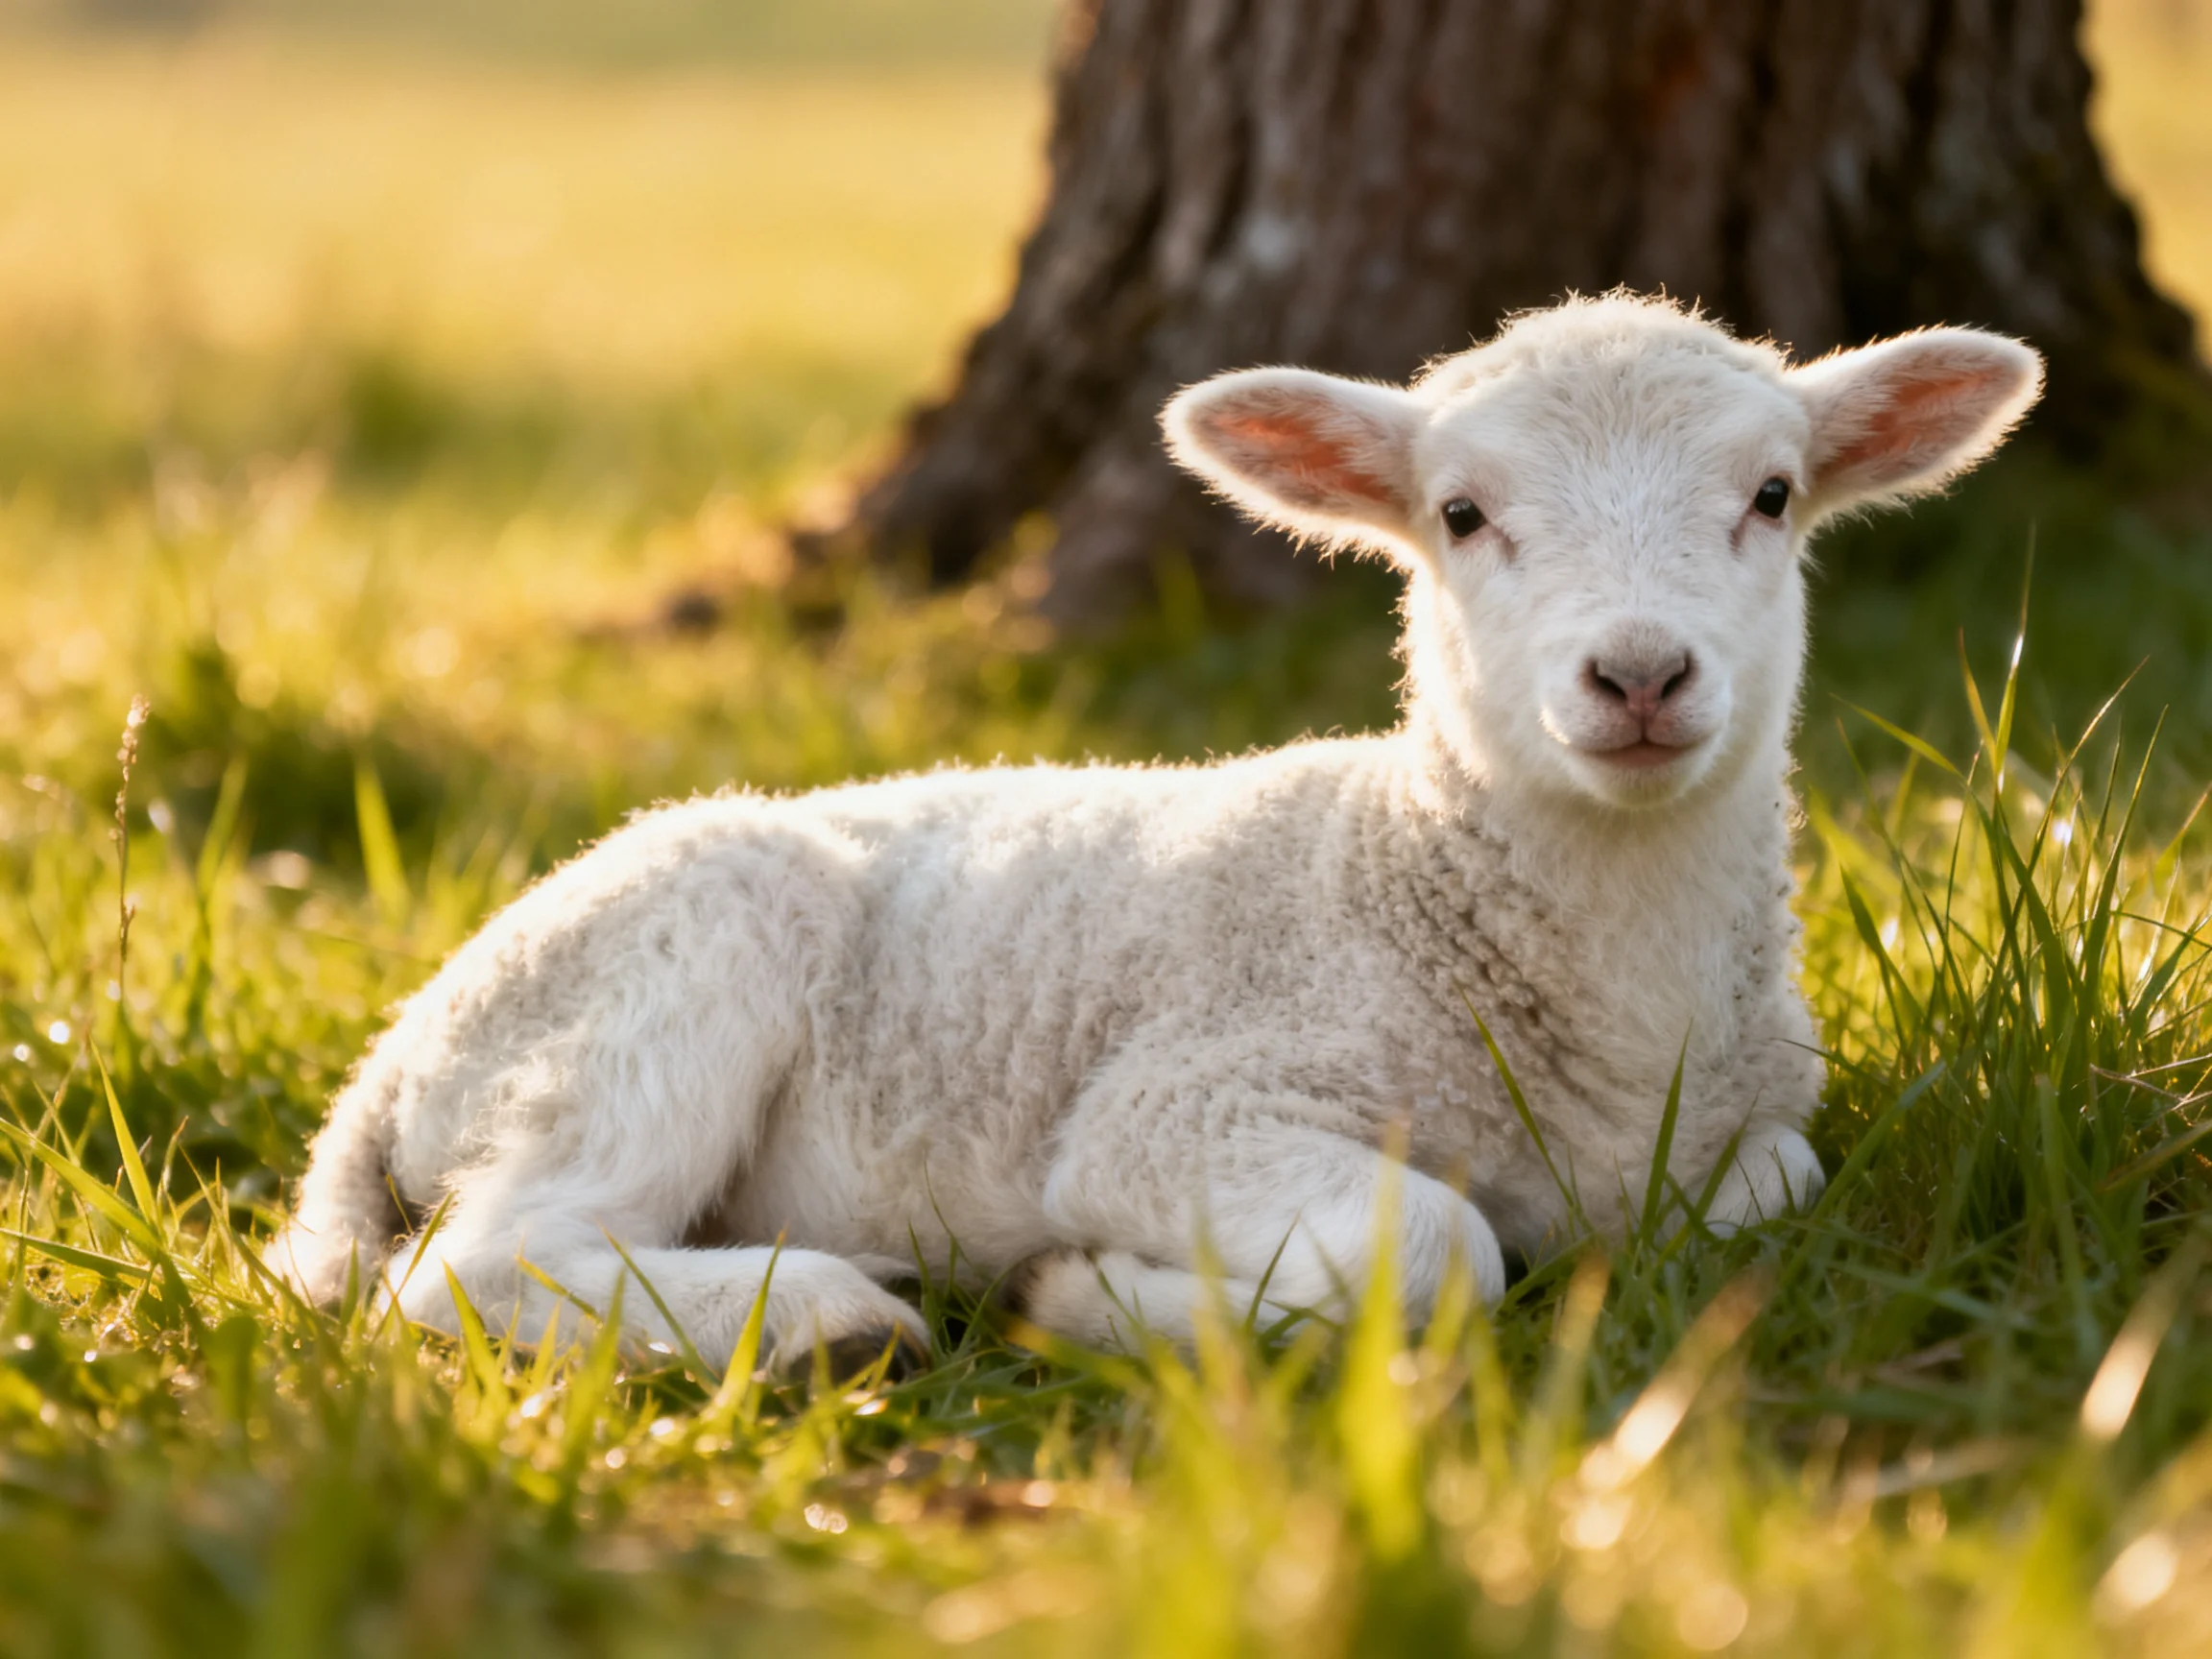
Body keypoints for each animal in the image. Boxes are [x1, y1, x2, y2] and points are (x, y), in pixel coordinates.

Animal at [269, 294, 2043, 1366]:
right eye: (1461, 515)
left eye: (1771, 496)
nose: (1639, 674)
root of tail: (388, 1068)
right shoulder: (1183, 1105)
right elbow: (1439, 1249)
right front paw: (1090, 1294)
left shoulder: (1751, 1129)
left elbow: (1770, 1190)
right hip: (659, 973)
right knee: (483, 1265)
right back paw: (831, 1312)